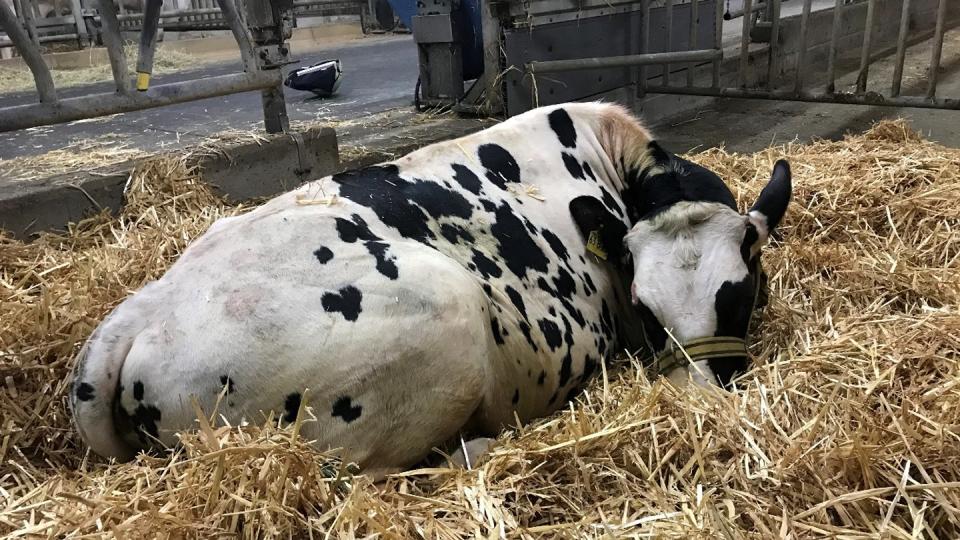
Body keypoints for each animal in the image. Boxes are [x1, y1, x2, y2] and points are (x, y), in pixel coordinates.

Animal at [65, 101, 788, 476]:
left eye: (739, 292)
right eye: (645, 308)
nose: (700, 408)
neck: (618, 165)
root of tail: (141, 309)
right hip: (443, 317)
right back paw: (480, 447)